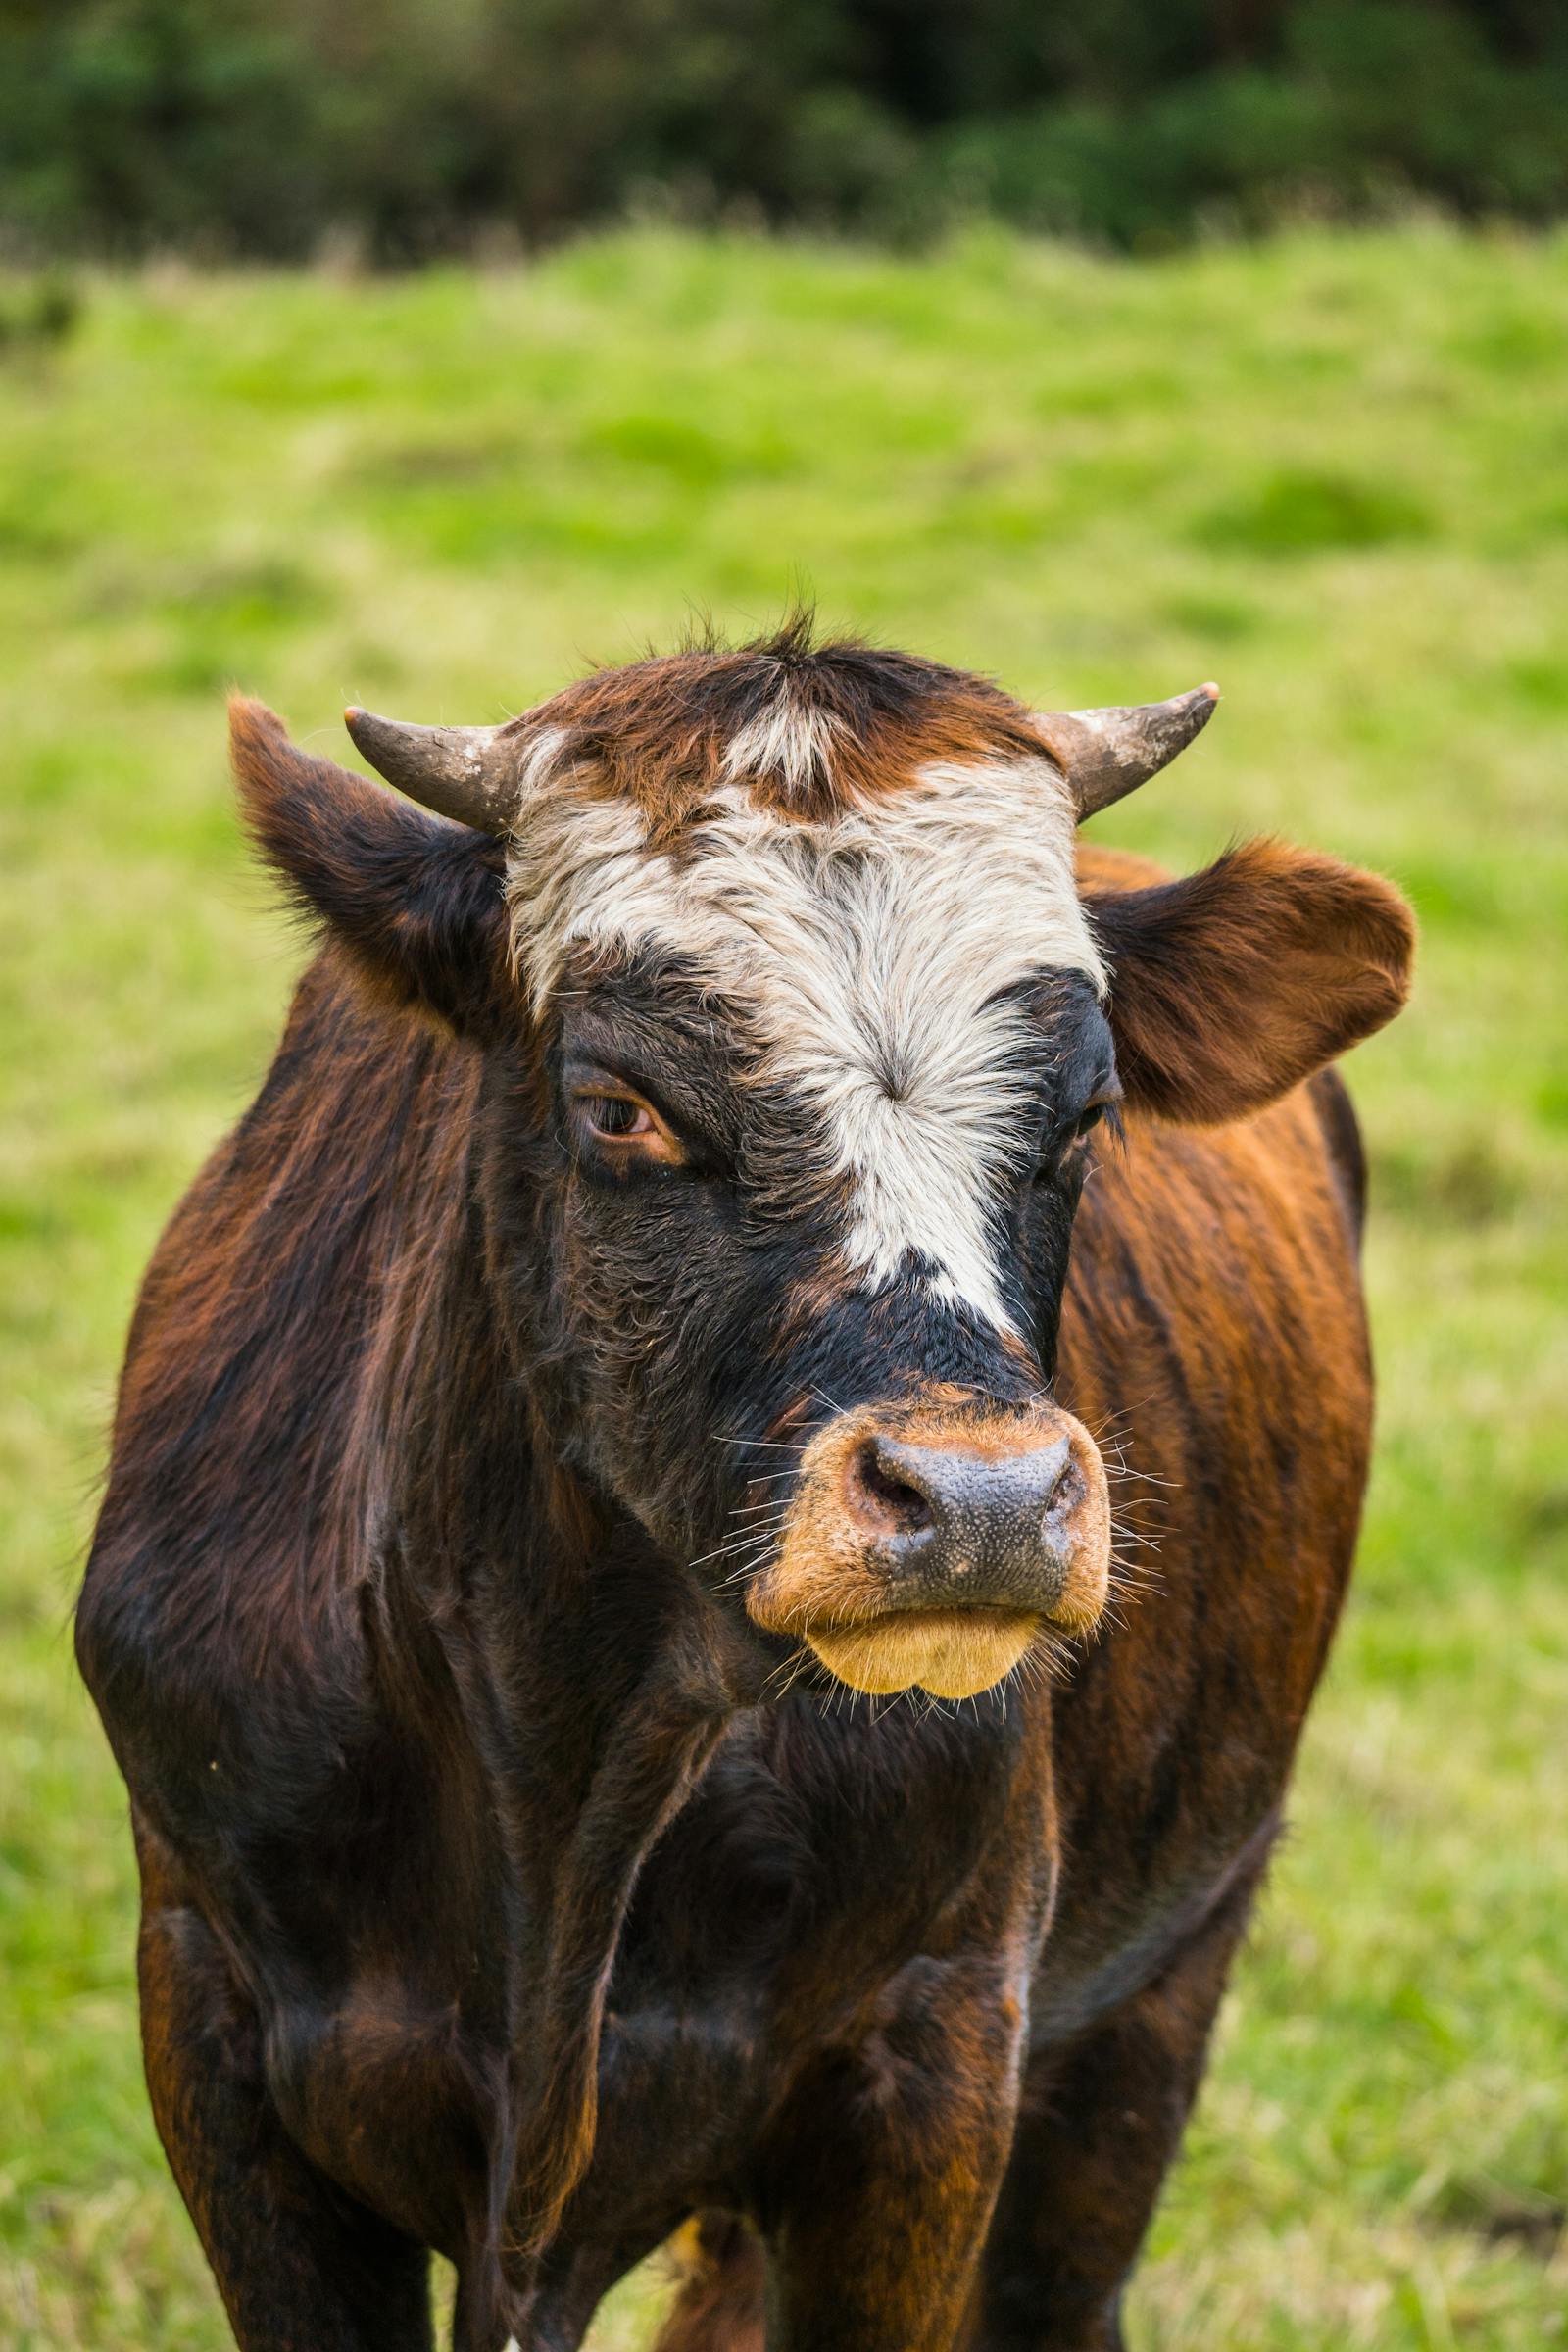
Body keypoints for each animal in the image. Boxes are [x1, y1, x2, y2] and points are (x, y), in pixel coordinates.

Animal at [78, 620, 1414, 2352]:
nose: (980, 1505)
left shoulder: (934, 2059)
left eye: (1089, 1112)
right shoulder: (216, 2020)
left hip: (1165, 1980)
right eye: (618, 1105)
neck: (572, 1760)